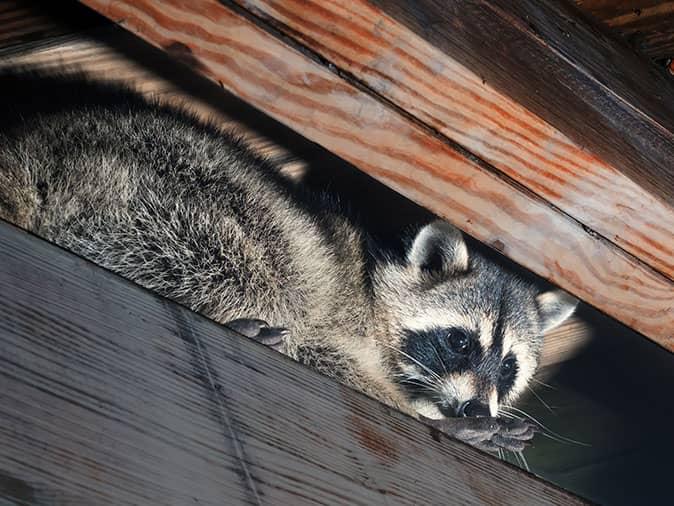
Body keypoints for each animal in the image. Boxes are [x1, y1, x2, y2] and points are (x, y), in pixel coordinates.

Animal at [0, 70, 576, 450]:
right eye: (459, 341)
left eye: (509, 366)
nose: (477, 407)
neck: (375, 289)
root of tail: (33, 146)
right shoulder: (339, 316)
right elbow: (322, 351)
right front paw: (429, 418)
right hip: (165, 195)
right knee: (250, 267)